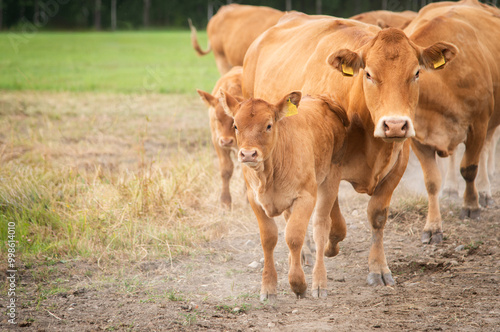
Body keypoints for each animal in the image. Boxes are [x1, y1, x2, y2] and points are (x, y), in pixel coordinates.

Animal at [196, 66, 243, 209]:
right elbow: (226, 169)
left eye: (235, 121)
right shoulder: (217, 142)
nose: (226, 140)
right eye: (217, 118)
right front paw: (225, 201)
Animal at [221, 89, 350, 300]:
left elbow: (294, 236)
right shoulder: (255, 200)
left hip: (331, 177)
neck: (269, 175)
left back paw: (319, 282)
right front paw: (268, 286)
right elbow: (268, 239)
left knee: (321, 227)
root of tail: (319, 99)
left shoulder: (306, 197)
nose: (248, 154)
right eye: (235, 125)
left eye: (268, 125)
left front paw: (298, 283)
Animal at [242, 12, 458, 288]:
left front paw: (378, 268)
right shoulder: (328, 168)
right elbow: (334, 222)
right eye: (368, 74)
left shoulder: (397, 165)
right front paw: (328, 247)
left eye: (417, 73)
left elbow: (377, 216)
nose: (394, 125)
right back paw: (307, 252)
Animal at [404, 0, 500, 244]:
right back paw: (450, 188)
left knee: (484, 151)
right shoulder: (419, 138)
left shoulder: (478, 124)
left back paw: (484, 191)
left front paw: (471, 205)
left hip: (489, 122)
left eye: (415, 73)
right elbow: (431, 182)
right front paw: (432, 227)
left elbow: (469, 168)